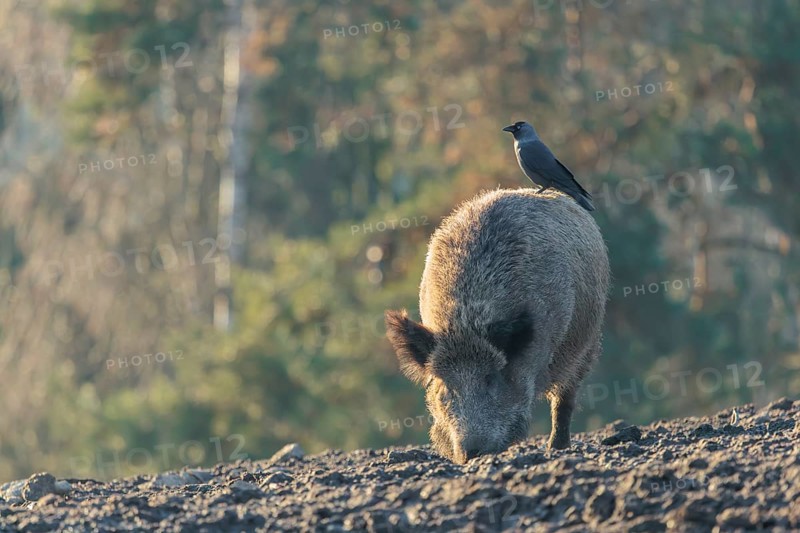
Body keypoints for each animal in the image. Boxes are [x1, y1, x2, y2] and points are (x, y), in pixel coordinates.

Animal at [385, 188, 609, 464]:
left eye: (490, 378)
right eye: (446, 385)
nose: (471, 452)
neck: (466, 321)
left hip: (588, 342)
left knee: (565, 396)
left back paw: (556, 448)